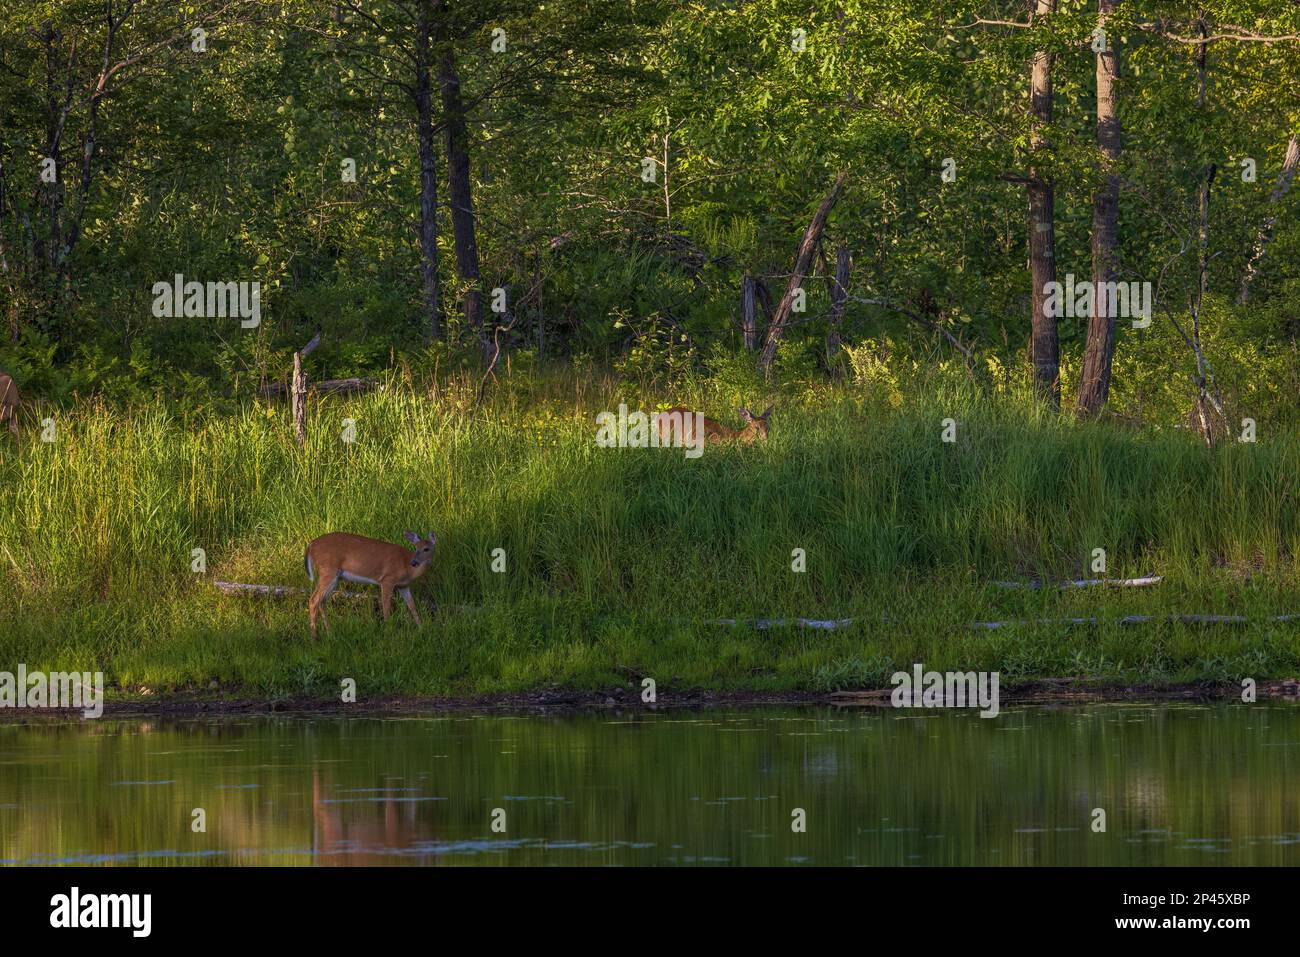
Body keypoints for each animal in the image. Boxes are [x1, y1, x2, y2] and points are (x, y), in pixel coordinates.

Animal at [304, 527, 436, 639]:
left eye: (426, 549)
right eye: (416, 548)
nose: (414, 562)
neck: (407, 567)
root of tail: (311, 545)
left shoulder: (403, 586)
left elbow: (412, 606)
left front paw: (422, 629)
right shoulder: (387, 579)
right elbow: (386, 605)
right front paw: (389, 632)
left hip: (335, 578)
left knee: (322, 601)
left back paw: (330, 634)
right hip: (328, 570)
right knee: (314, 599)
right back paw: (314, 638)